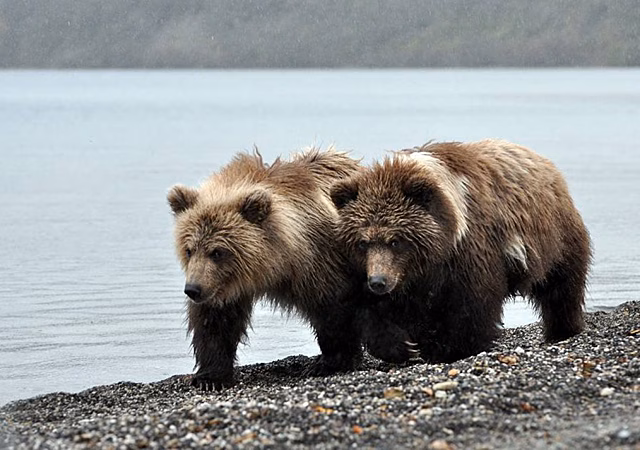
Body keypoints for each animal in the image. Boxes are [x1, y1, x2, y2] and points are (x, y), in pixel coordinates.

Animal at [168, 148, 367, 390]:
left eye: (217, 252)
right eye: (189, 250)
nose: (193, 289)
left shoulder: (319, 261)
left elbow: (332, 307)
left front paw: (331, 362)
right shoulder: (222, 286)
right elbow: (215, 321)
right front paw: (210, 377)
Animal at [330, 139, 592, 364]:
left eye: (396, 241)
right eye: (362, 242)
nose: (378, 281)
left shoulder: (469, 253)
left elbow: (472, 303)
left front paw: (453, 349)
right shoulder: (391, 275)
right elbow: (369, 309)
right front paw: (404, 347)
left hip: (556, 237)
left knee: (561, 287)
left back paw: (562, 330)